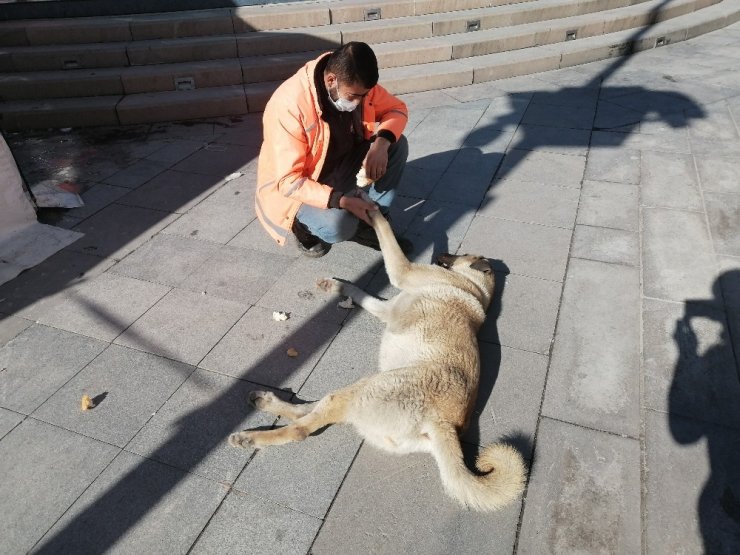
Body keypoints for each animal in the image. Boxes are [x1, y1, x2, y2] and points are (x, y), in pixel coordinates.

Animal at [231, 212, 528, 512]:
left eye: (463, 254)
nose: (442, 254)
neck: (476, 290)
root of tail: (444, 424)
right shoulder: (386, 307)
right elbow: (360, 293)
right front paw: (337, 286)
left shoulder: (402, 273)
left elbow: (386, 239)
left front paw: (373, 212)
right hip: (363, 394)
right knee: (312, 409)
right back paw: (264, 402)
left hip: (367, 389)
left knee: (303, 428)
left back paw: (250, 438)